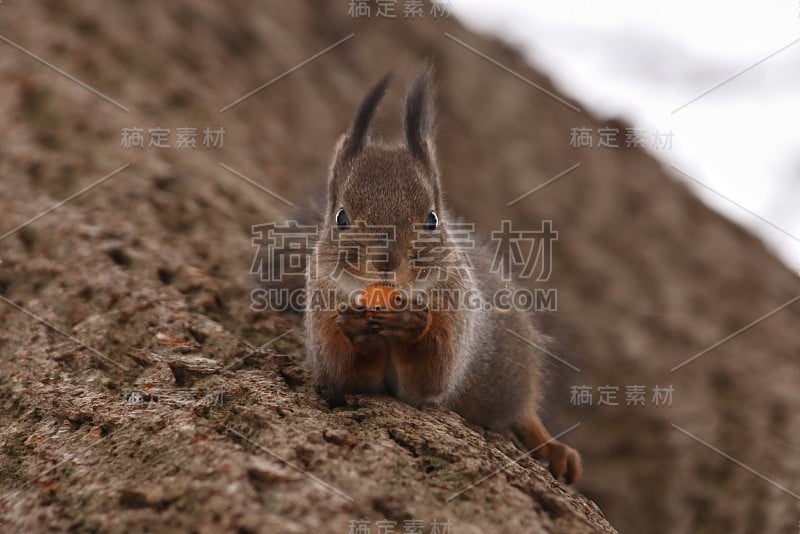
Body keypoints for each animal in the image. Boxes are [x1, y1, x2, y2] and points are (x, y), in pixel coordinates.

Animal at [304, 69, 580, 484]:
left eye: (433, 219)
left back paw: (555, 449)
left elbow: (432, 377)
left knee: (524, 412)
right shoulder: (322, 309)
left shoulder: (457, 313)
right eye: (341, 217)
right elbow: (344, 375)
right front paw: (356, 328)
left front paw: (410, 322)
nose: (386, 263)